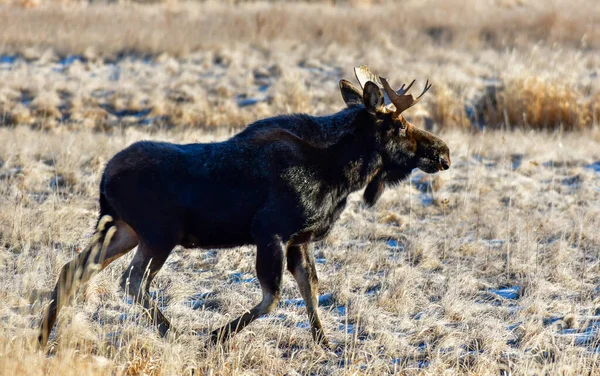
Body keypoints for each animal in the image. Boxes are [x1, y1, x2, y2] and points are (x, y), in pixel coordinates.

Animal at [38, 65, 450, 350]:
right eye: (398, 126)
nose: (442, 152)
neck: (339, 173)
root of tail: (104, 178)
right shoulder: (270, 231)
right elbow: (272, 297)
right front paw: (214, 337)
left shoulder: (299, 239)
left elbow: (311, 289)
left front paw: (328, 345)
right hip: (159, 234)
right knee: (133, 281)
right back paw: (174, 332)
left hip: (123, 230)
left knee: (72, 270)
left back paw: (42, 338)